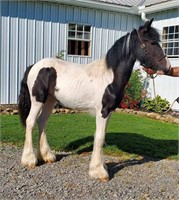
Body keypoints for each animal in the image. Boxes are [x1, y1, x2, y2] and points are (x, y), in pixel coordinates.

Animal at [18, 18, 171, 181]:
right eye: (152, 42)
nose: (167, 67)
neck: (109, 75)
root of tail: (34, 66)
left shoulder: (109, 111)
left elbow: (101, 137)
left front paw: (101, 167)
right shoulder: (102, 111)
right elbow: (99, 138)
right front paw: (99, 172)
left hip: (50, 101)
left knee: (42, 122)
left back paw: (47, 156)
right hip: (38, 100)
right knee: (30, 122)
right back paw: (29, 160)